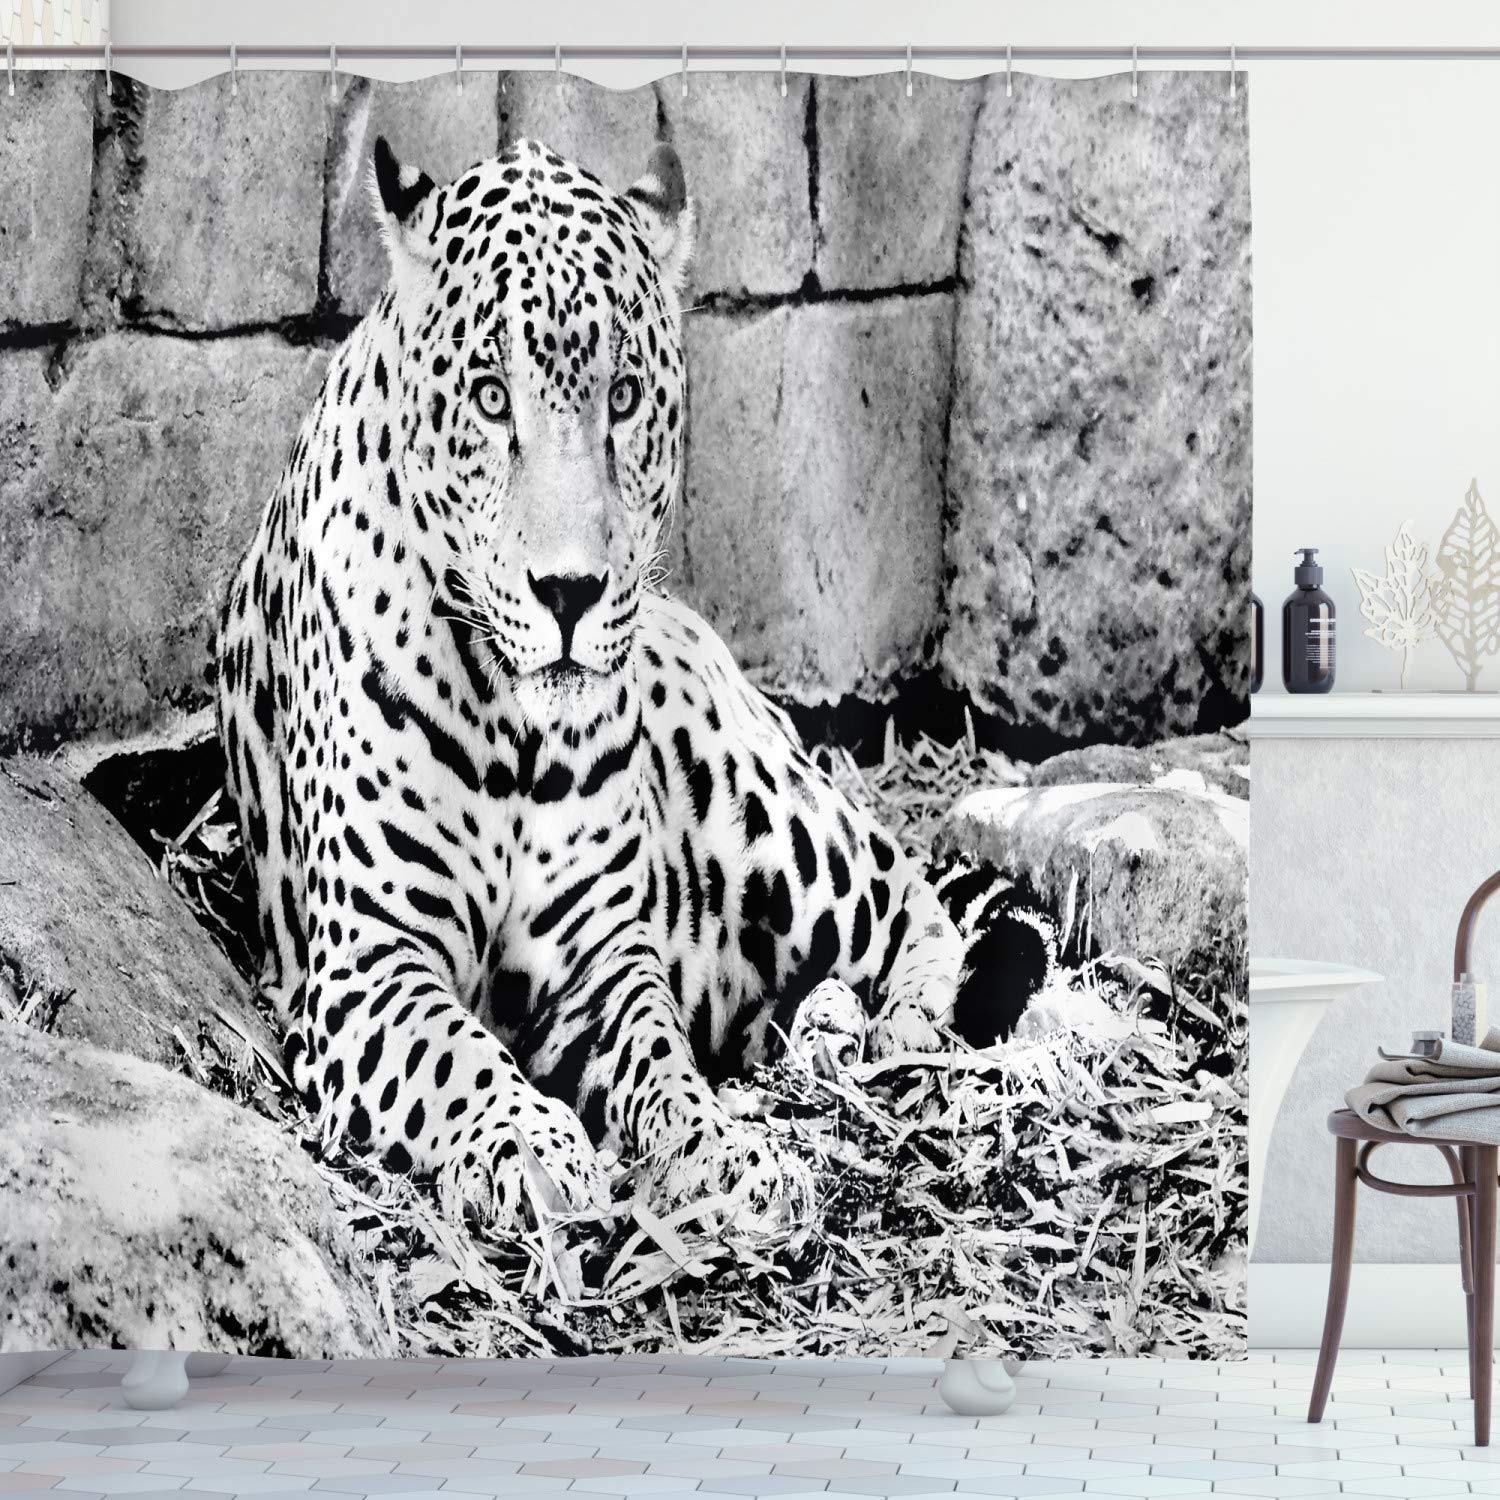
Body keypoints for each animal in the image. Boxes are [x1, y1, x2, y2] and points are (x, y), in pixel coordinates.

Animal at [216, 133, 1041, 1228]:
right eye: (491, 397)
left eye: (623, 396)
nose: (570, 590)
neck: (516, 735)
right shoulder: (368, 963)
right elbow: (455, 1054)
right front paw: (529, 1143)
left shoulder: (603, 959)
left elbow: (663, 1069)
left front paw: (729, 1155)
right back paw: (819, 1028)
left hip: (768, 811)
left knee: (909, 892)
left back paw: (900, 1024)